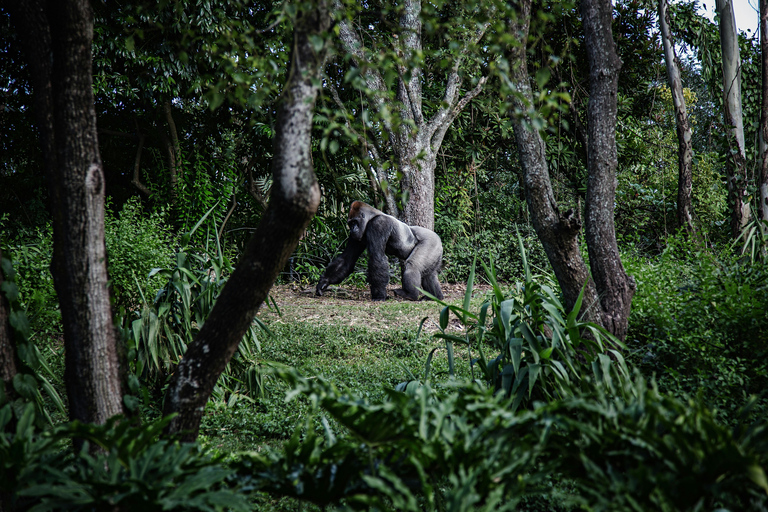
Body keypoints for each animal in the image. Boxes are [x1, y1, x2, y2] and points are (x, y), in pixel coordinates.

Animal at [316, 201, 444, 301]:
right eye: (350, 223)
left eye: (355, 222)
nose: (352, 229)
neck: (371, 216)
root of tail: (438, 238)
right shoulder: (356, 236)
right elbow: (347, 259)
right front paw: (324, 282)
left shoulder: (378, 224)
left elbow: (377, 257)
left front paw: (379, 295)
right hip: (435, 250)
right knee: (429, 274)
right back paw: (435, 296)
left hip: (431, 242)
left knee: (413, 265)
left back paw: (410, 294)